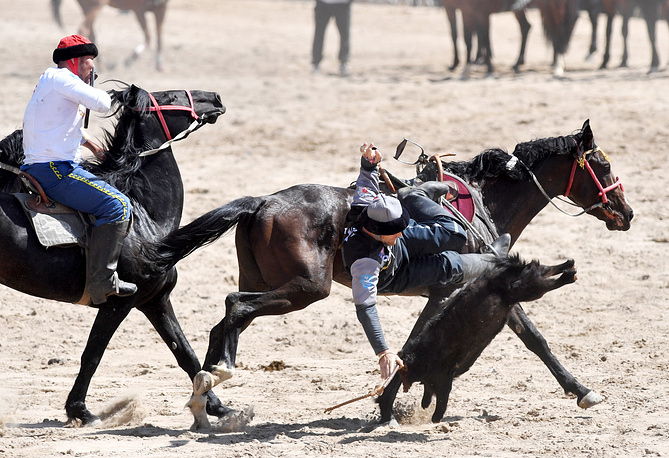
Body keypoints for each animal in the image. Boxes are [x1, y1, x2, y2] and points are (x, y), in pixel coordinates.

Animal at [0, 85, 230, 426]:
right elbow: (93, 353)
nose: (215, 97)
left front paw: (218, 406)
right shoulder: (118, 301)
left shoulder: (155, 300)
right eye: (172, 97)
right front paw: (79, 410)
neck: (144, 216)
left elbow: (185, 352)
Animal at [147, 120, 632, 428]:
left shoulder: (448, 291)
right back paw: (217, 380)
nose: (626, 213)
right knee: (235, 308)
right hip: (305, 289)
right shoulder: (482, 283)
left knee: (229, 318)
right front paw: (582, 390)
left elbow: (419, 339)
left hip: (269, 283)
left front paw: (388, 398)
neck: (481, 202)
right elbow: (534, 337)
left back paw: (212, 396)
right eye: (603, 165)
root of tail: (263, 201)